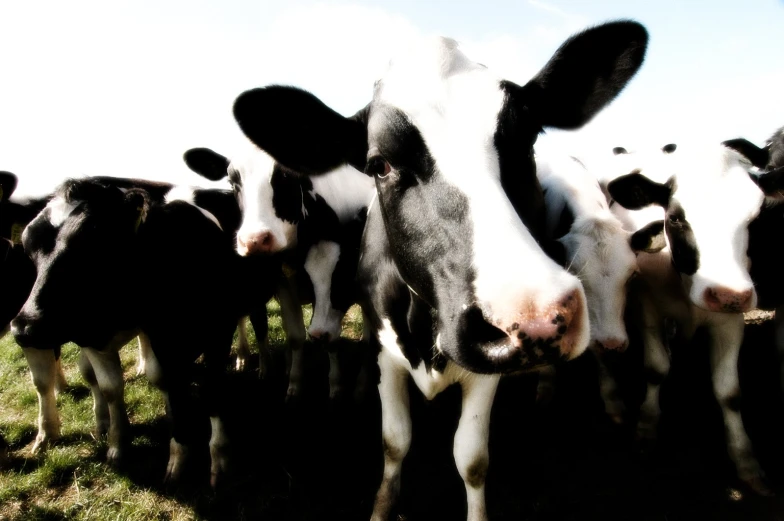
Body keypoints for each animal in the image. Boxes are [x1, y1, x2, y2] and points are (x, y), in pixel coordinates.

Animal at [10, 177, 278, 486]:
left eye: (88, 244)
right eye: (28, 248)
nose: (24, 326)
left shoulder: (217, 334)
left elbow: (213, 391)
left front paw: (220, 462)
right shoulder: (141, 337)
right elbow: (129, 387)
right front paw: (160, 453)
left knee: (257, 322)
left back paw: (263, 367)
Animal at [184, 144, 374, 400]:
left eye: (286, 176)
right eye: (233, 182)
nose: (254, 240)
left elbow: (353, 340)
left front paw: (344, 387)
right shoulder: (284, 282)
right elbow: (296, 336)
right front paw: (295, 386)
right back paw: (248, 358)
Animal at [224, 20, 648, 520]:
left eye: (527, 140)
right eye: (379, 164)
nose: (534, 318)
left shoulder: (486, 373)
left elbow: (472, 458)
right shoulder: (386, 352)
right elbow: (394, 443)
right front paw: (382, 508)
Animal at [608, 142, 784, 496]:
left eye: (756, 216)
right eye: (675, 218)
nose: (728, 294)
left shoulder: (730, 320)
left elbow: (729, 392)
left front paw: (746, 461)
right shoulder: (648, 308)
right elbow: (656, 369)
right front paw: (646, 428)